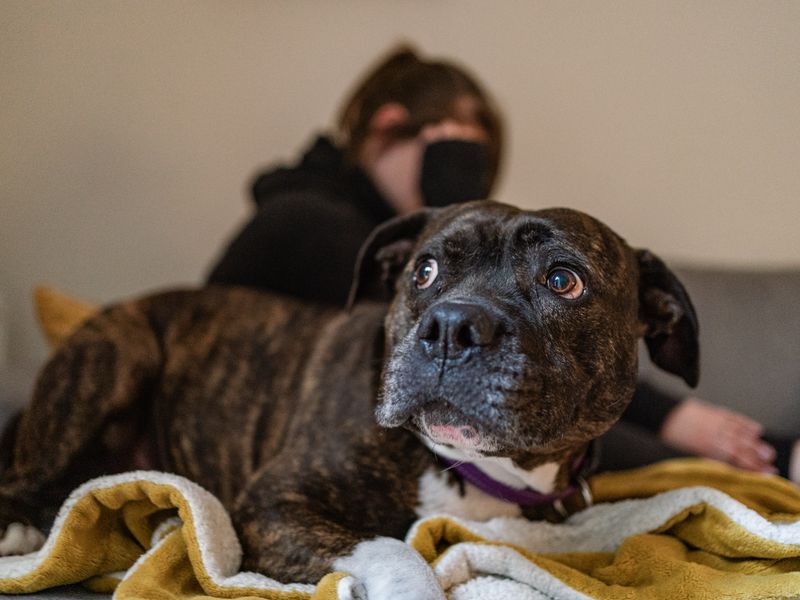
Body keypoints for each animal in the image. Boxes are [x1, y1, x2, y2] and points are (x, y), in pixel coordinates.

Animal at [0, 199, 692, 596]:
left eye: (563, 280)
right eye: (424, 272)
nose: (450, 325)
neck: (477, 473)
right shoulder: (277, 503)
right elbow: (392, 546)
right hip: (118, 355)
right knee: (33, 479)